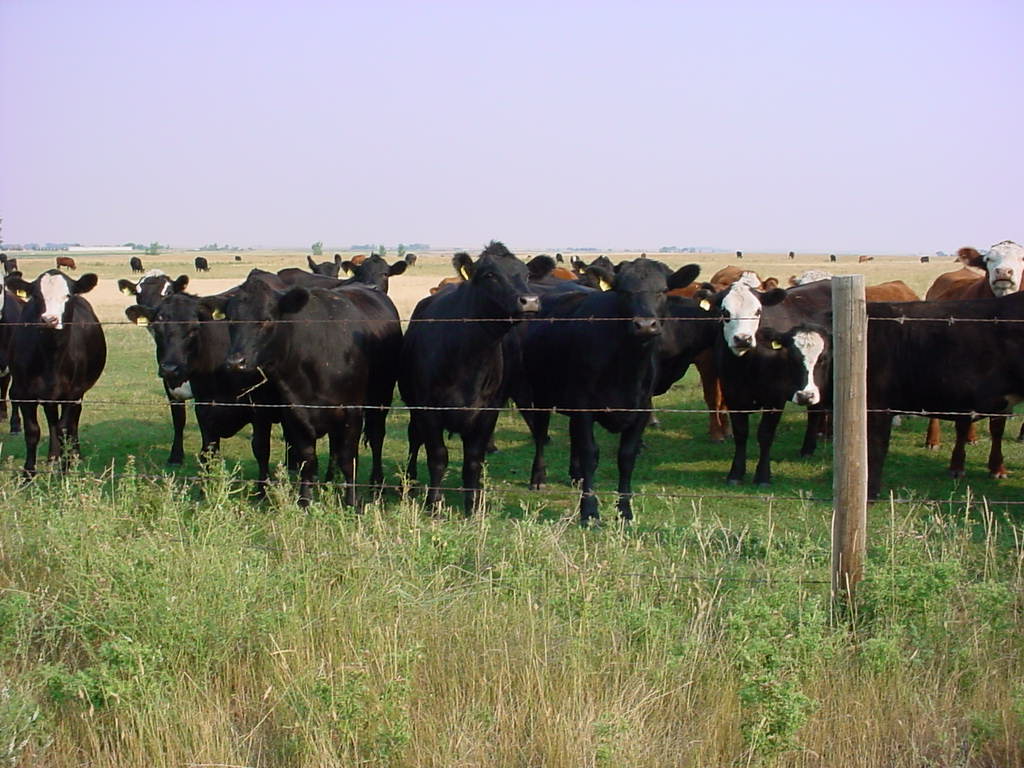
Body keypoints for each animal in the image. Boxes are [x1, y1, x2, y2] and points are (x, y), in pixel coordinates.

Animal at [7, 270, 106, 476]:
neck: (51, 355)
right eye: (36, 296)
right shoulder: (23, 392)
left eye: (67, 296)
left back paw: (75, 455)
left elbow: (65, 428)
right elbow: (32, 431)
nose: (49, 320)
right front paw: (28, 473)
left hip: (78, 393)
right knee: (52, 418)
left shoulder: (73, 392)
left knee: (73, 420)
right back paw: (53, 456)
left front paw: (65, 470)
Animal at [202, 270, 402, 506]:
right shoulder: (295, 411)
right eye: (231, 320)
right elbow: (307, 458)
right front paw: (305, 500)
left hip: (381, 398)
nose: (235, 362)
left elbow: (348, 459)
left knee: (376, 437)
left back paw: (376, 484)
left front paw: (352, 502)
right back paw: (329, 480)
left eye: (266, 320)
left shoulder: (352, 411)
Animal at [399, 242, 539, 514]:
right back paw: (410, 479)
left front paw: (473, 505)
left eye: (527, 274)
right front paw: (434, 504)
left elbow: (473, 460)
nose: (529, 301)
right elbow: (437, 456)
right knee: (414, 438)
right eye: (490, 275)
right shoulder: (428, 410)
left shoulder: (487, 412)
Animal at [517, 259, 701, 523]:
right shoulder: (584, 406)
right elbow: (590, 453)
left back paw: (576, 476)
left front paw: (625, 510)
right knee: (540, 435)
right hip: (541, 393)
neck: (626, 367)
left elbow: (626, 457)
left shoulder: (641, 409)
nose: (645, 325)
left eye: (663, 291)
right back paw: (539, 478)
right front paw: (589, 511)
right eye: (624, 292)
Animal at [921, 242, 1024, 475]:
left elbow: (997, 425)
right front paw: (957, 465)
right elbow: (962, 422)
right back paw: (933, 440)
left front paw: (997, 467)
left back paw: (972, 437)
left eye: (1022, 258)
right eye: (988, 259)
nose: (1004, 272)